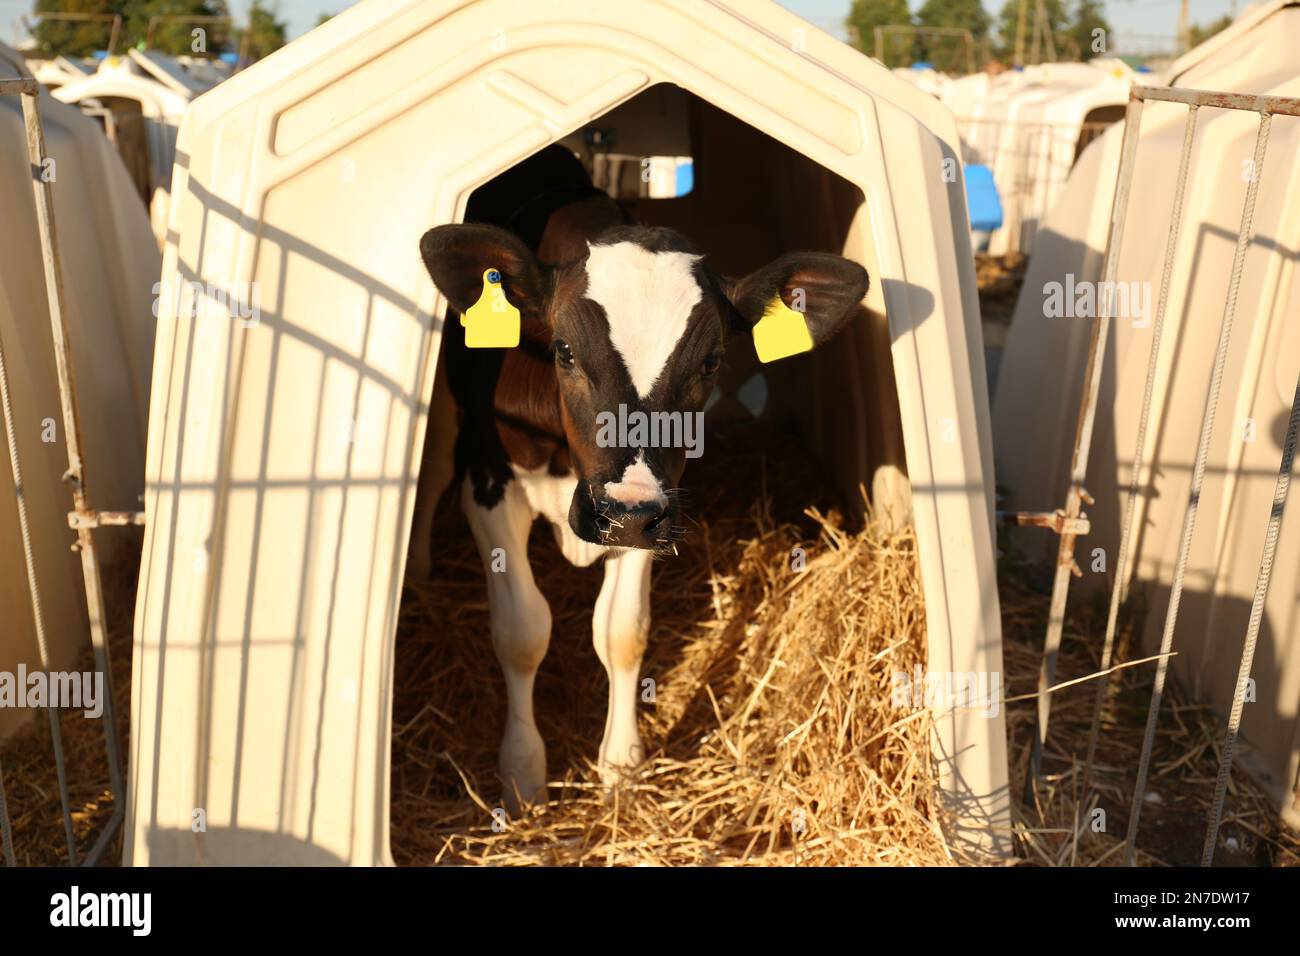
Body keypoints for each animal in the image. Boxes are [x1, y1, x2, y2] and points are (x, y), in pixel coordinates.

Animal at [418, 147, 863, 806]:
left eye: (711, 362)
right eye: (564, 351)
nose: (624, 510)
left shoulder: (650, 510)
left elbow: (622, 632)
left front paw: (621, 763)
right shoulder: (492, 481)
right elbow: (522, 632)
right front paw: (522, 774)